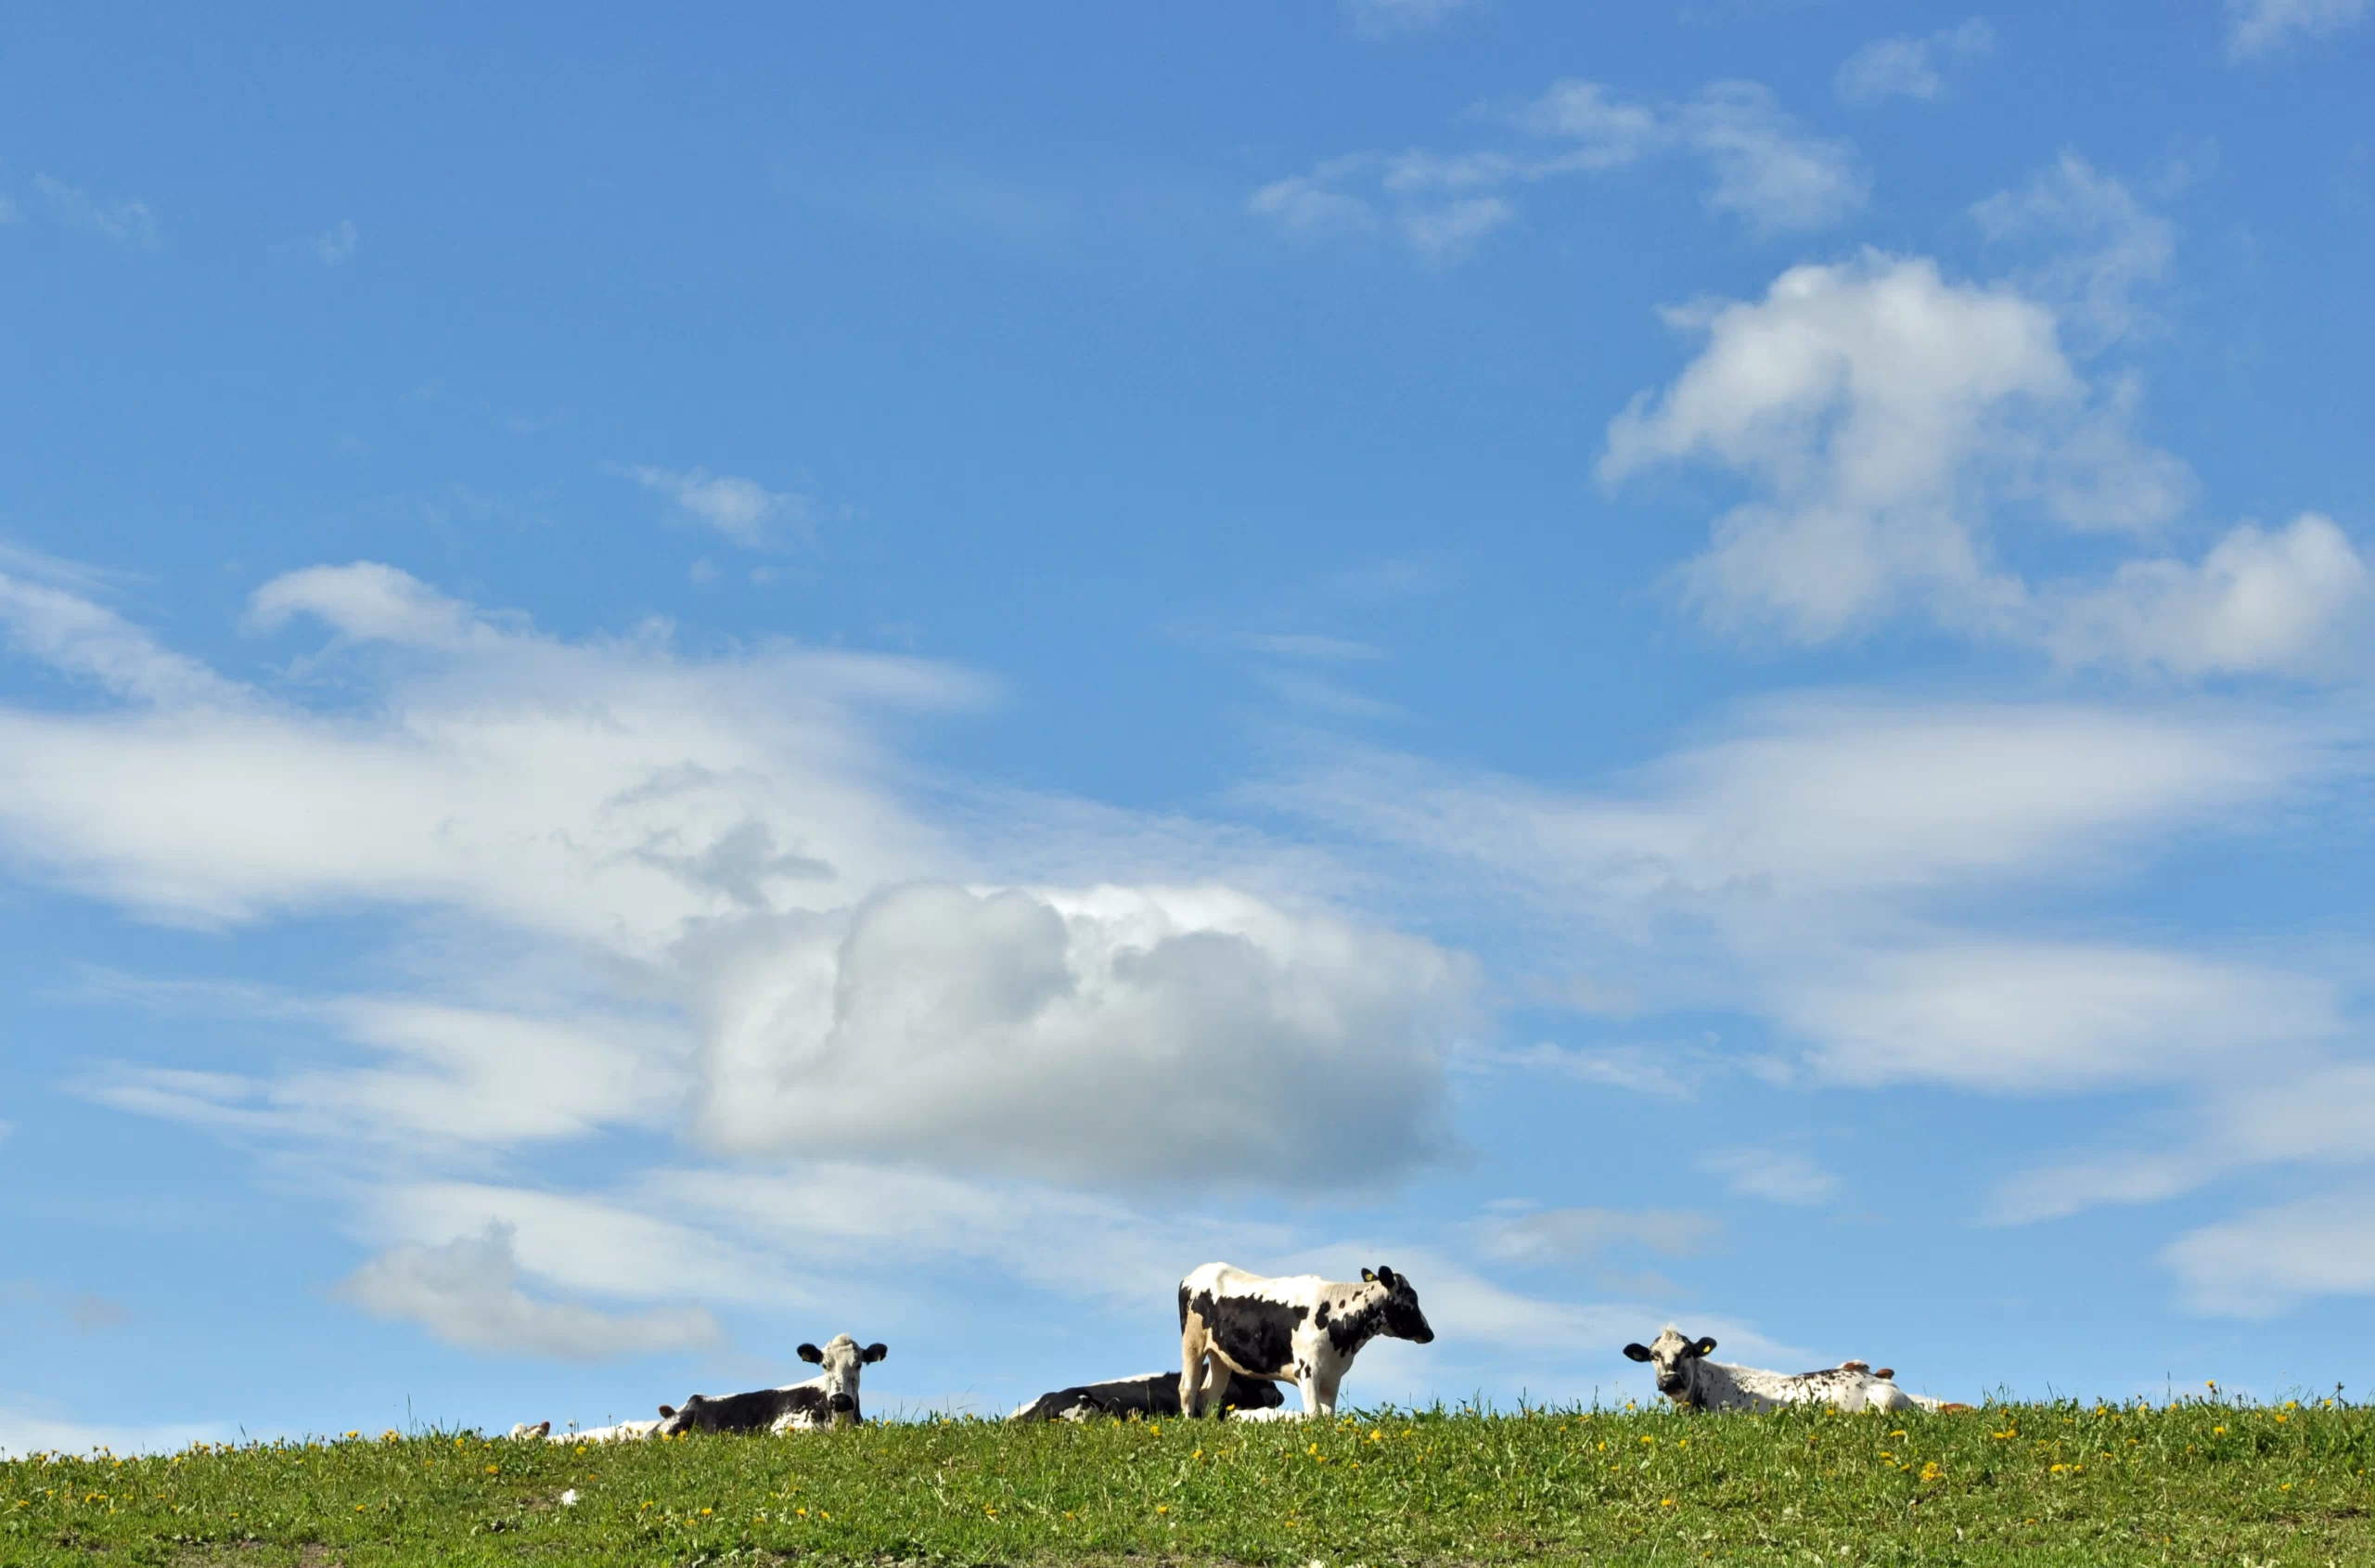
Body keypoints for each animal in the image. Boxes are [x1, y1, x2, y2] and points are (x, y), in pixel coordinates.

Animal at [1168, 1264, 1425, 1425]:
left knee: (1209, 1393)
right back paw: (1190, 1423)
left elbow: (1328, 1416)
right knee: (1188, 1387)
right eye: (1411, 1299)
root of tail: (1193, 1275)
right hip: (1192, 1343)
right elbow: (1314, 1414)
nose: (1429, 1333)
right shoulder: (1307, 1371)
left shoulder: (1333, 1377)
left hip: (1220, 1355)